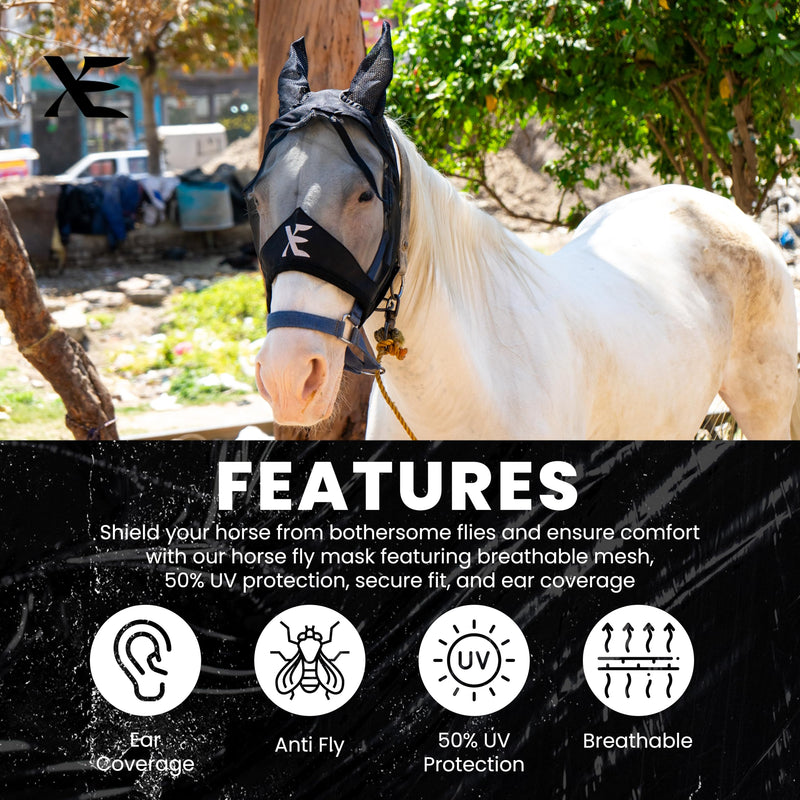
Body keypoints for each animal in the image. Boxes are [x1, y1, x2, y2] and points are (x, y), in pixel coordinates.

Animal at [248, 23, 800, 440]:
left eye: (365, 195)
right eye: (256, 199)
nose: (288, 378)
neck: (473, 384)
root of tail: (723, 208)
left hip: (765, 411)